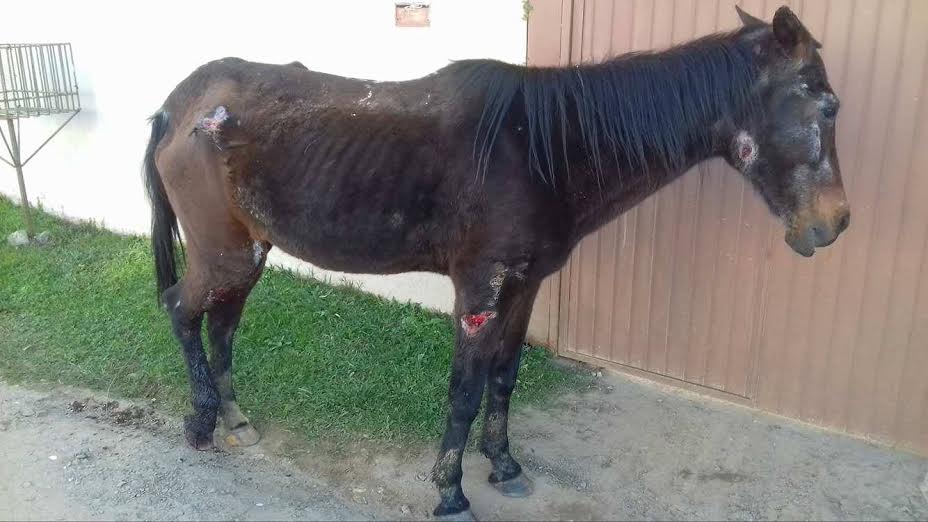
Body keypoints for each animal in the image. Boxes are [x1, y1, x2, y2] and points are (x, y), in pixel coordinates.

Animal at [143, 5, 848, 518]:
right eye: (826, 104)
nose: (834, 224)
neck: (541, 149)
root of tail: (179, 104)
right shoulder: (479, 290)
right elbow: (464, 390)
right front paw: (450, 493)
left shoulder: (525, 286)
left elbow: (504, 378)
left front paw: (505, 466)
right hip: (224, 254)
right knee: (182, 311)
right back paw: (201, 423)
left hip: (248, 251)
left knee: (221, 326)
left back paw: (235, 419)